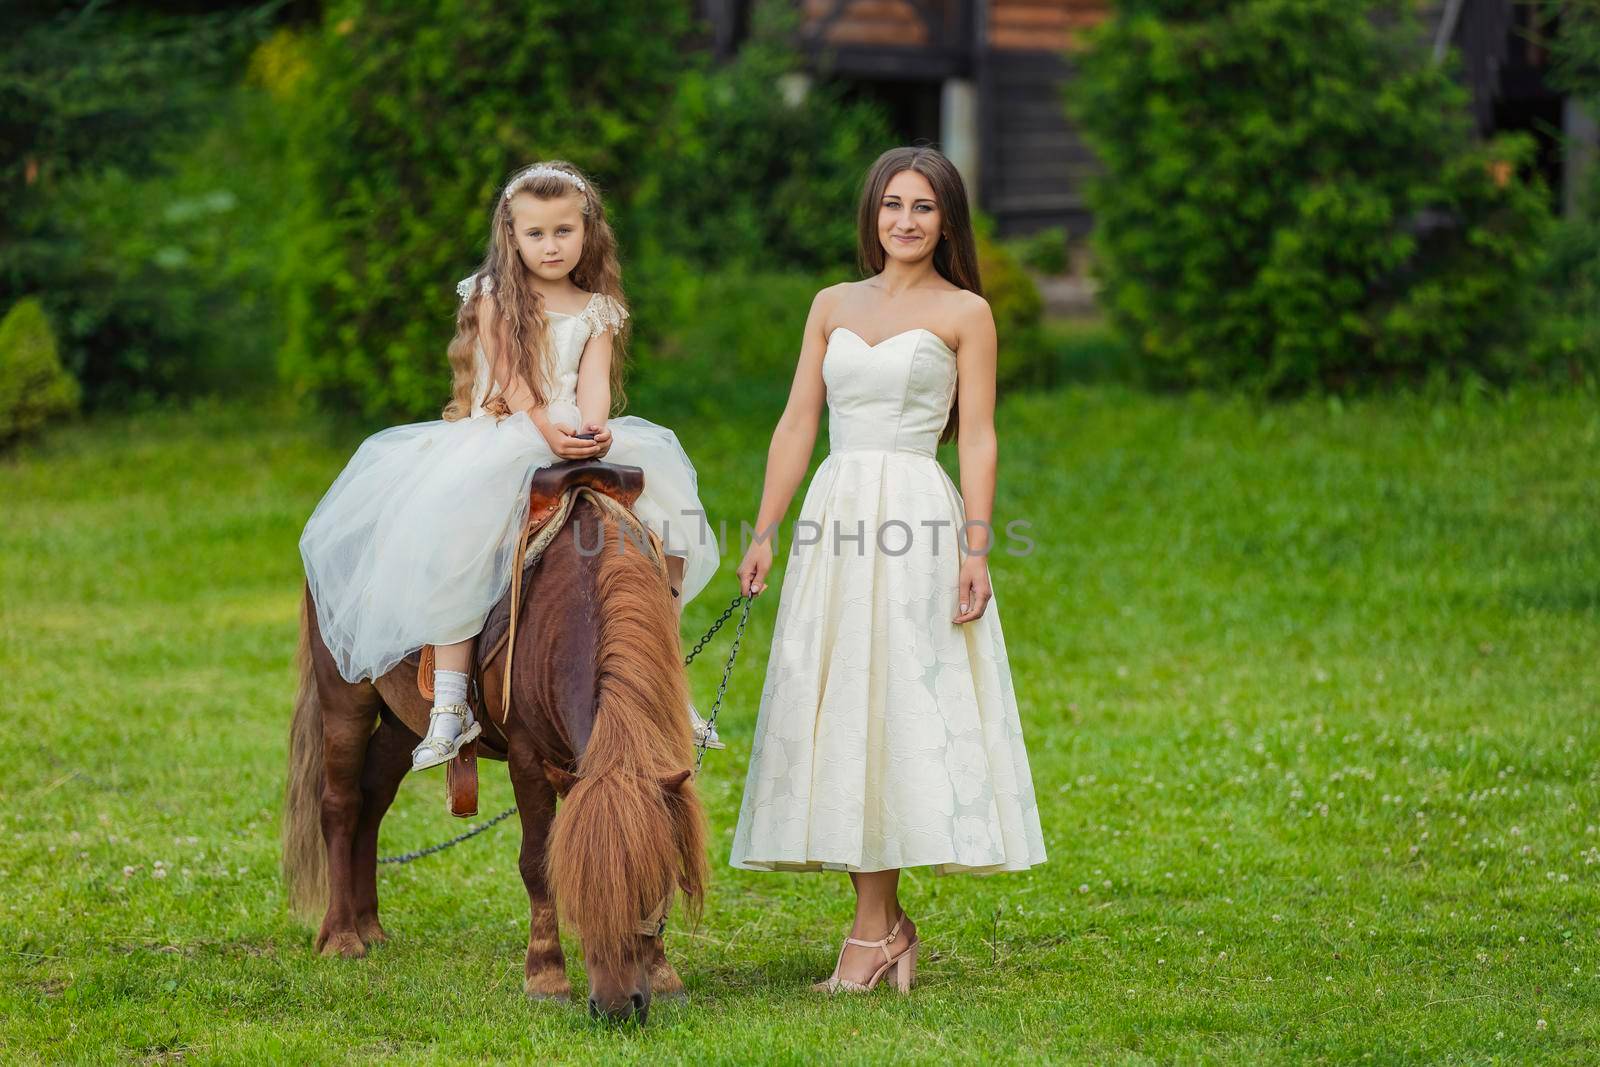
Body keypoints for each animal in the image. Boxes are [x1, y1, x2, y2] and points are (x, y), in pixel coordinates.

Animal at [284, 502, 710, 1023]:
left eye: (648, 887)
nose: (614, 1007)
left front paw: (665, 976)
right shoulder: (527, 758)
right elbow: (535, 863)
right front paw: (546, 977)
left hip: (402, 722)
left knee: (373, 800)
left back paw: (370, 927)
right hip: (345, 697)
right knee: (340, 805)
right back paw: (343, 937)